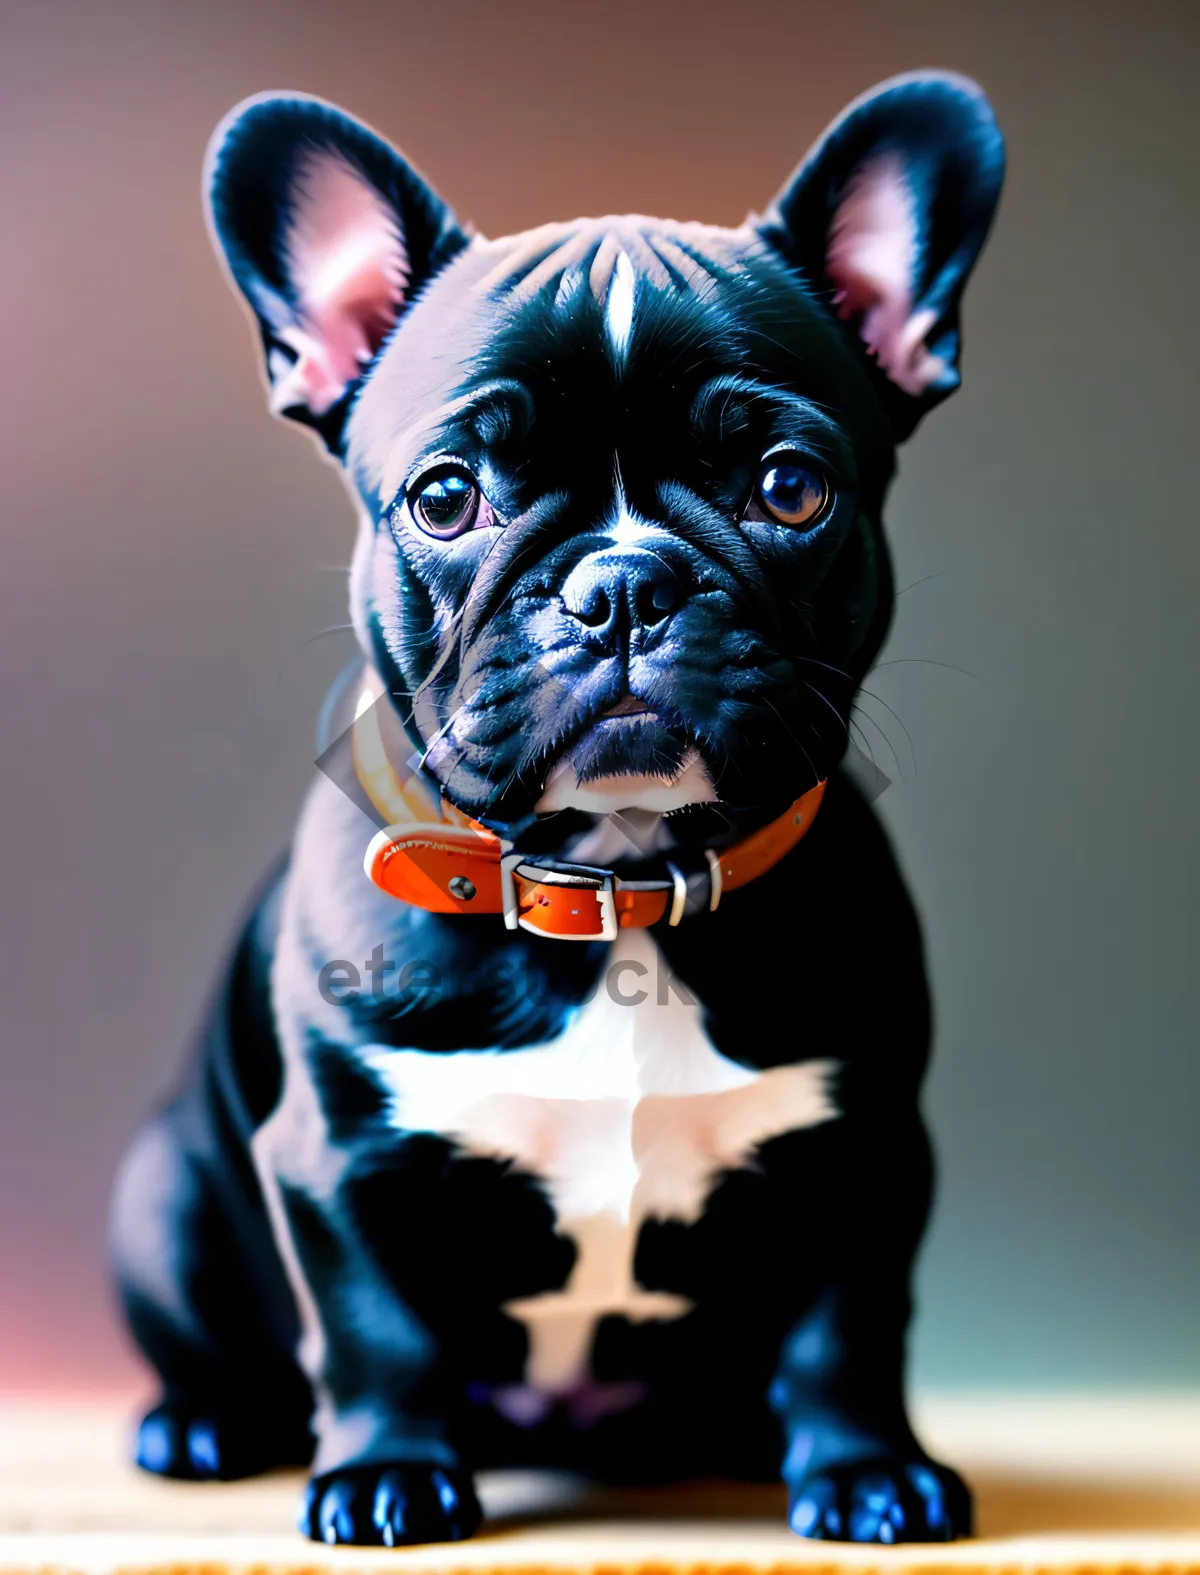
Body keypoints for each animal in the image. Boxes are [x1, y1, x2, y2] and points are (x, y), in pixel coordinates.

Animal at [110, 76, 1001, 1549]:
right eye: (446, 497)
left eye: (791, 488)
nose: (624, 583)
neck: (618, 885)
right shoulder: (334, 1160)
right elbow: (374, 1330)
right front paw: (385, 1471)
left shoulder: (871, 1149)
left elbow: (850, 1324)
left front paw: (870, 1467)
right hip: (163, 1196)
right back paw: (203, 1422)